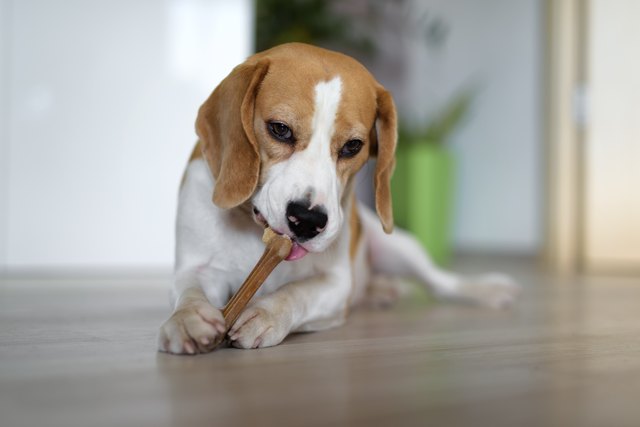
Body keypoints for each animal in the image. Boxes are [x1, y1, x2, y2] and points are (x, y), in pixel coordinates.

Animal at [158, 43, 516, 356]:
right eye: (280, 129)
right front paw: (188, 318)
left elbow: (296, 293)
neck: (256, 233)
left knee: (439, 281)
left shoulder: (336, 283)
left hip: (400, 246)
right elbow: (189, 292)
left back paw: (483, 289)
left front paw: (268, 313)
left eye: (352, 146)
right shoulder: (197, 268)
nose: (307, 220)